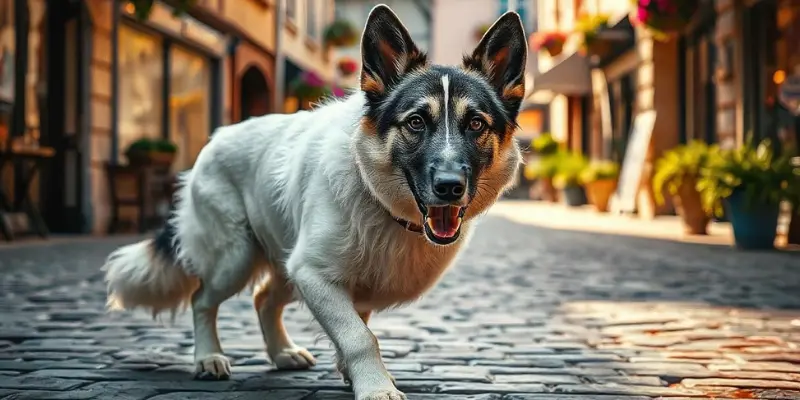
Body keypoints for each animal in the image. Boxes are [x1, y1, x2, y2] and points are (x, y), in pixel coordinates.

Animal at [103, 3, 528, 400]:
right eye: (416, 123)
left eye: (476, 124)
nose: (450, 186)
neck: (374, 193)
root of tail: (216, 138)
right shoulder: (313, 273)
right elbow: (359, 337)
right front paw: (375, 385)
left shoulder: (337, 282)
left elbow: (355, 328)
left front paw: (351, 373)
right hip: (237, 258)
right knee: (202, 299)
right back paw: (208, 357)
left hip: (286, 265)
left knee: (263, 299)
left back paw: (281, 353)